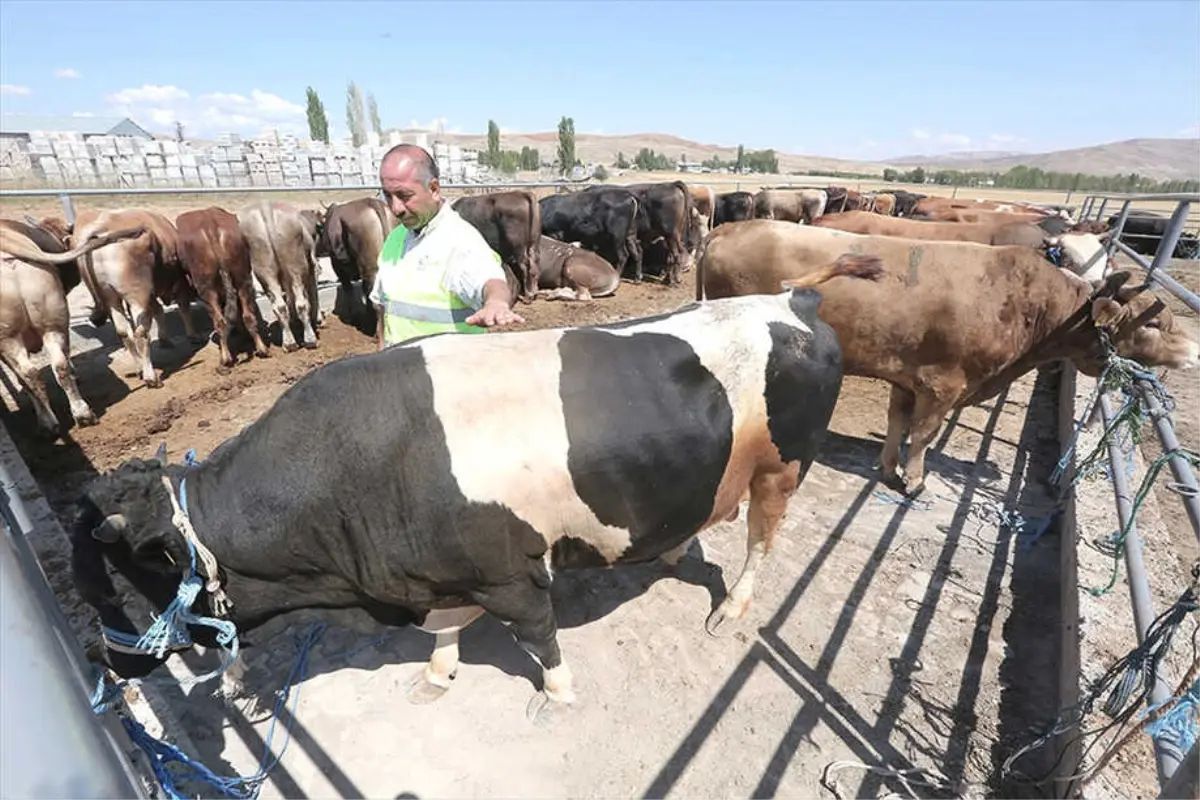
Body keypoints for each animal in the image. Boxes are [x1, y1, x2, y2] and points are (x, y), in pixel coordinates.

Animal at [0, 217, 146, 438]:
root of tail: (7, 244)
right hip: (41, 327)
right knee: (46, 370)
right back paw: (76, 415)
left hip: (32, 330)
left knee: (44, 370)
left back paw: (60, 418)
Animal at [68, 257, 883, 724]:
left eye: (136, 572)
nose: (111, 666)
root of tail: (792, 300)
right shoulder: (441, 569)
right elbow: (444, 631)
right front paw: (437, 675)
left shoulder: (511, 572)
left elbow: (540, 637)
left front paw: (556, 696)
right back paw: (675, 551)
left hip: (783, 467)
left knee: (762, 538)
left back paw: (733, 606)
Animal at [175, 206, 268, 369]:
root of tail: (211, 226)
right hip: (243, 279)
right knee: (247, 315)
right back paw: (261, 348)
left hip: (207, 289)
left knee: (220, 321)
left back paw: (225, 359)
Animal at [237, 200, 324, 350]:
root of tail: (266, 207)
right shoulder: (312, 265)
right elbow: (313, 292)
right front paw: (317, 319)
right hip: (295, 263)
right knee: (301, 303)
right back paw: (310, 339)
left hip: (263, 266)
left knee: (279, 305)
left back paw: (289, 343)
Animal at [696, 219, 1200, 494]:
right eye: (1153, 322)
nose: (1194, 350)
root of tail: (731, 226)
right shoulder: (943, 384)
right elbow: (922, 435)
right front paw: (914, 480)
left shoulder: (905, 379)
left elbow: (898, 425)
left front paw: (887, 468)